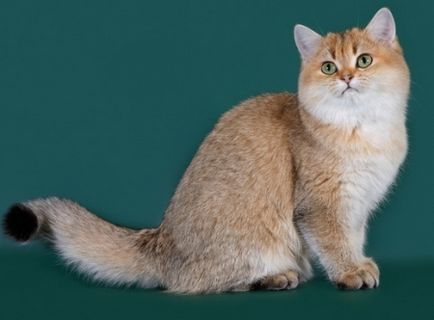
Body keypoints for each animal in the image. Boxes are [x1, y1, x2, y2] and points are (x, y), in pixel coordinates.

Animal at [2, 7, 410, 294]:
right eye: (327, 67)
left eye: (363, 60)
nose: (347, 78)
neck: (363, 129)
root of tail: (161, 241)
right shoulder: (321, 205)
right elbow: (334, 242)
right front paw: (350, 272)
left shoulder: (358, 206)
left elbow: (352, 237)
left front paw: (360, 262)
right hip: (252, 239)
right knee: (195, 284)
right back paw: (275, 277)